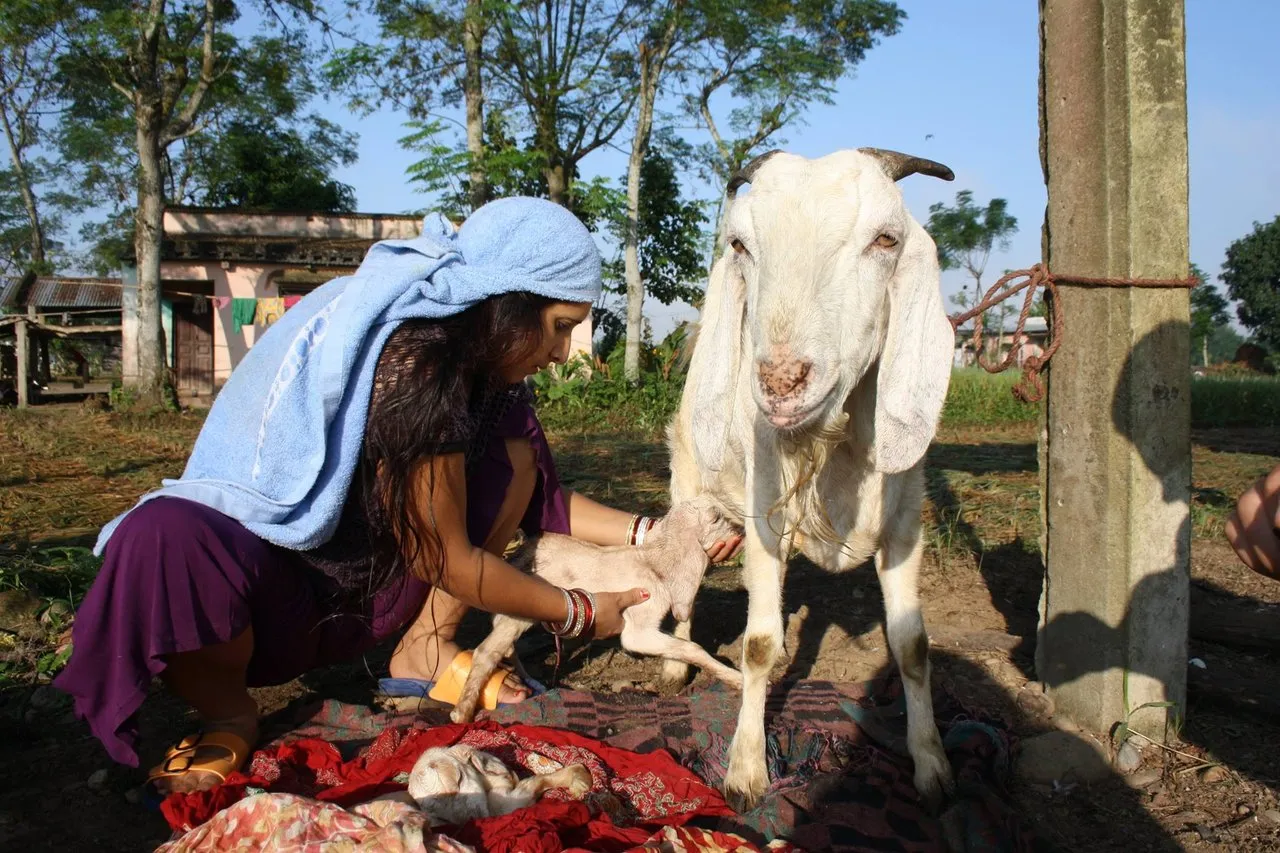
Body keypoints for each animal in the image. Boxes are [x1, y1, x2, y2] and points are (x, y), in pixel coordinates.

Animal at [450, 494, 747, 722]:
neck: (654, 562)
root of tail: (519, 553)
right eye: (716, 518)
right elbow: (691, 648)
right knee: (486, 651)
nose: (741, 532)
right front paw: (737, 679)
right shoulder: (638, 629)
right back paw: (462, 712)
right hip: (519, 609)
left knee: (505, 647)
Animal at [665, 147, 957, 809]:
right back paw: (673, 665)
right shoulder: (764, 518)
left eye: (886, 239)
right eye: (740, 245)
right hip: (687, 487)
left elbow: (913, 646)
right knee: (682, 578)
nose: (781, 381)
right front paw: (746, 772)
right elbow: (758, 646)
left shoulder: (906, 525)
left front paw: (931, 765)